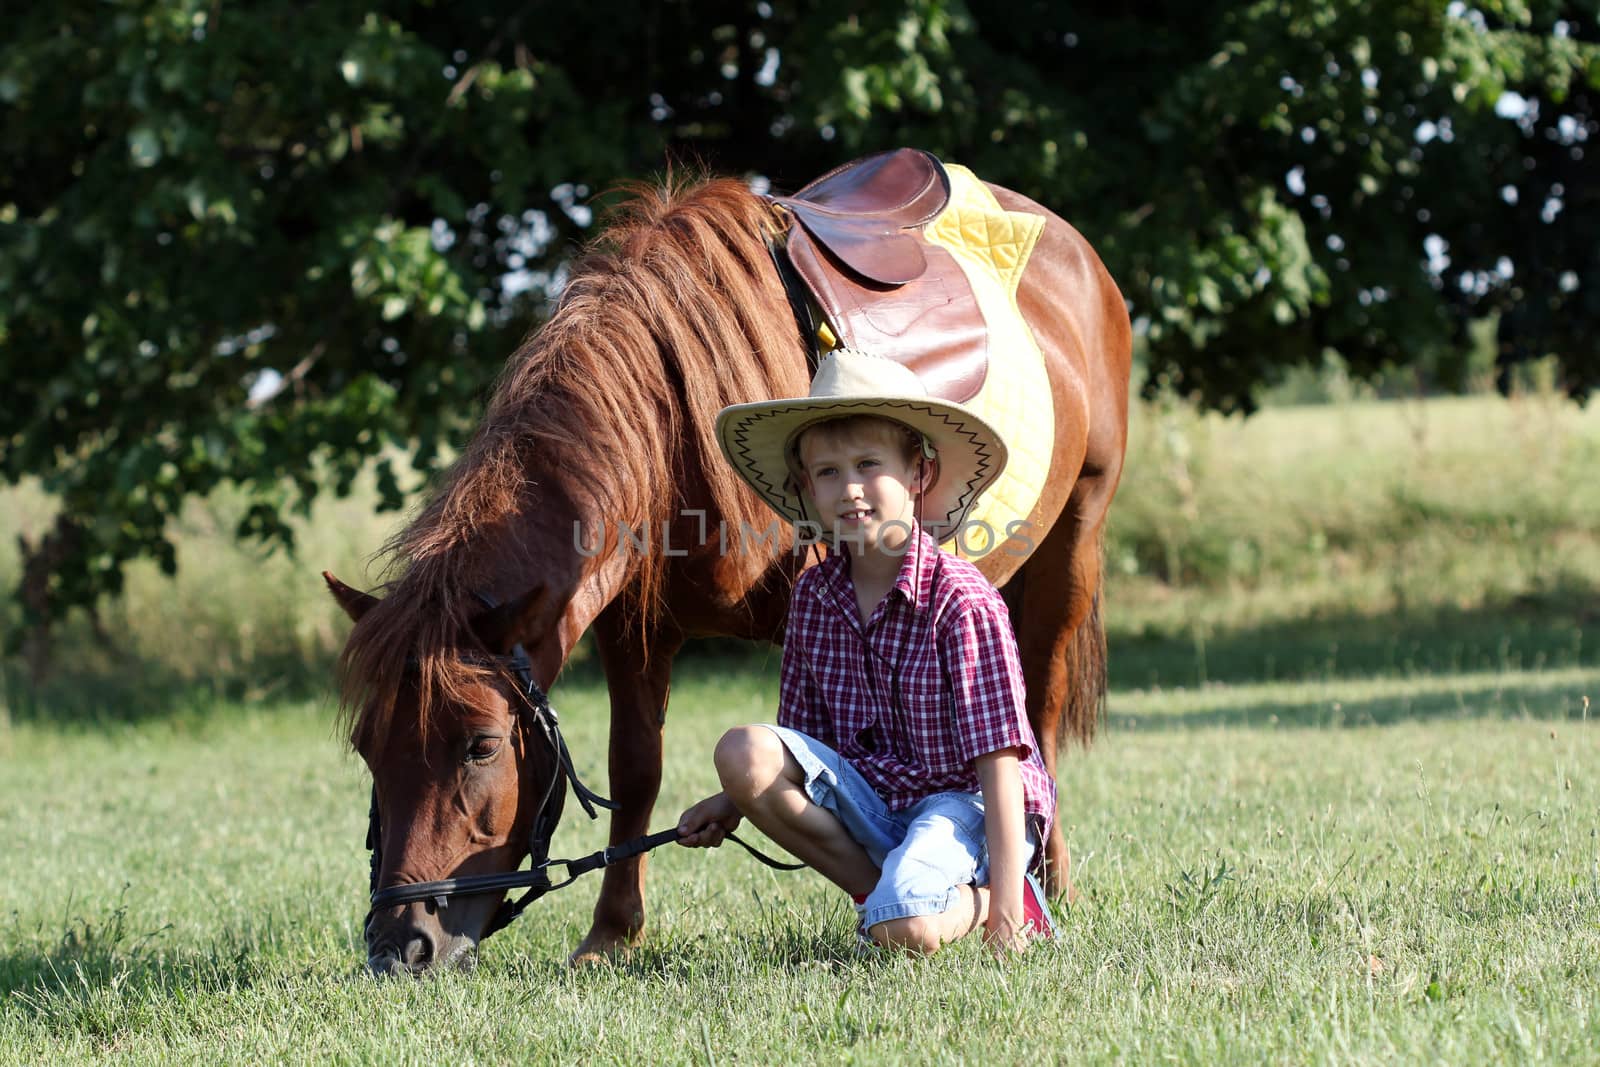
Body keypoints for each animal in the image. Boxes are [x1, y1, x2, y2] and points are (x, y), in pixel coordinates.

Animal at [324, 160, 1132, 979]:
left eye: (482, 744)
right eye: (366, 747)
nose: (399, 945)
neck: (675, 429)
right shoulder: (632, 629)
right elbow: (637, 771)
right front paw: (611, 933)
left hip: (1076, 538)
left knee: (1038, 717)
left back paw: (1047, 880)